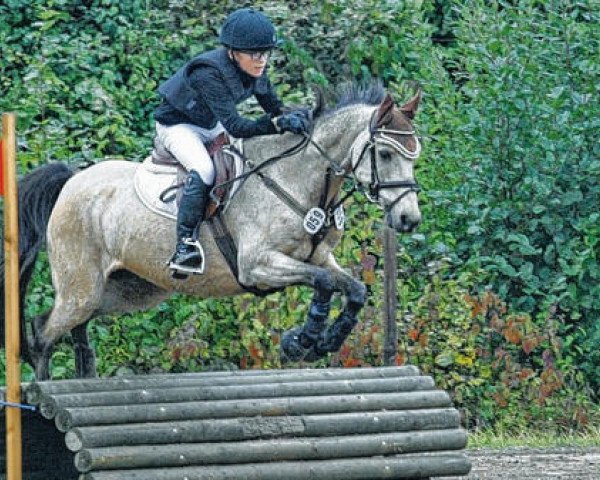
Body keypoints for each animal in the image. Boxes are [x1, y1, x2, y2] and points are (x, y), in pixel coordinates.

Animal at [1, 80, 422, 380]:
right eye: (385, 154)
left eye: (414, 156)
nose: (409, 220)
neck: (299, 180)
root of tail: (72, 181)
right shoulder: (258, 265)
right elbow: (325, 283)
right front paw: (305, 340)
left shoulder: (319, 257)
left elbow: (351, 288)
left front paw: (317, 340)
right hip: (82, 287)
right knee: (43, 332)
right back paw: (42, 398)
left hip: (124, 290)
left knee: (70, 328)